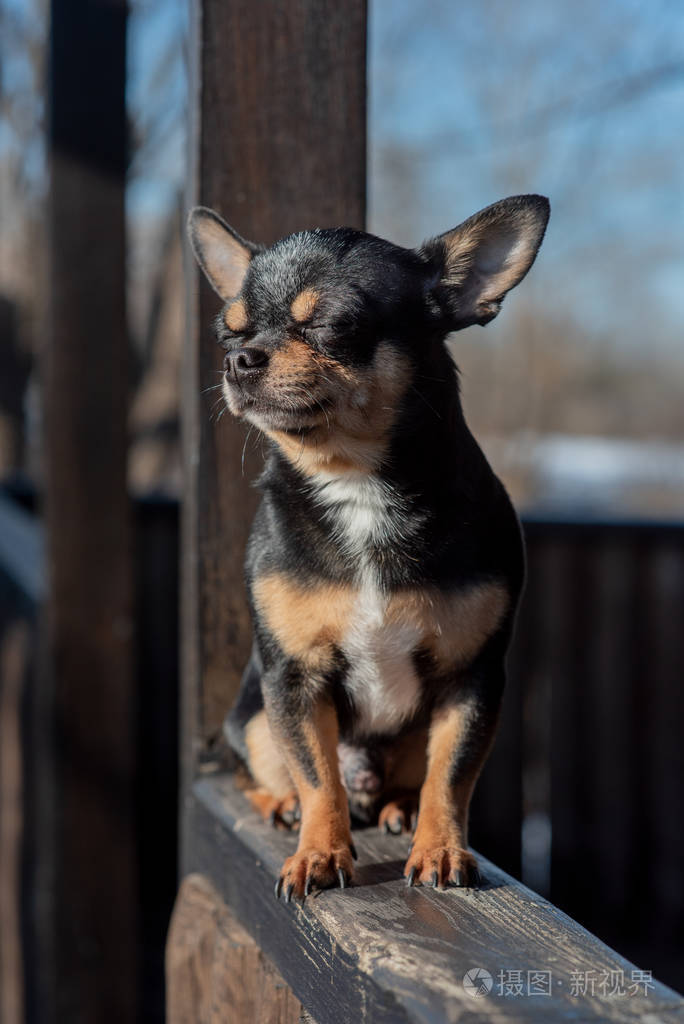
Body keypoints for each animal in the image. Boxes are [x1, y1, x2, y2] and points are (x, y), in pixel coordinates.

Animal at [188, 195, 548, 901]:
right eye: (229, 334)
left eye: (333, 325)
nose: (239, 361)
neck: (356, 486)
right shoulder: (294, 680)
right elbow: (316, 774)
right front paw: (318, 853)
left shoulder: (472, 680)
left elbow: (451, 777)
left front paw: (440, 848)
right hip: (255, 713)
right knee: (267, 768)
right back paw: (282, 806)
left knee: (413, 777)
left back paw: (399, 807)